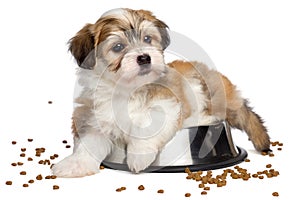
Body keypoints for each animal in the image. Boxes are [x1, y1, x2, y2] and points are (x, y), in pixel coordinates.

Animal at [52, 7, 272, 177]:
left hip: (198, 85)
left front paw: (138, 155)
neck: (126, 90)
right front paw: (74, 164)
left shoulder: (168, 101)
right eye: (118, 47)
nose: (144, 57)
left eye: (147, 39)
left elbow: (149, 123)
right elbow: (89, 143)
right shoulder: (96, 118)